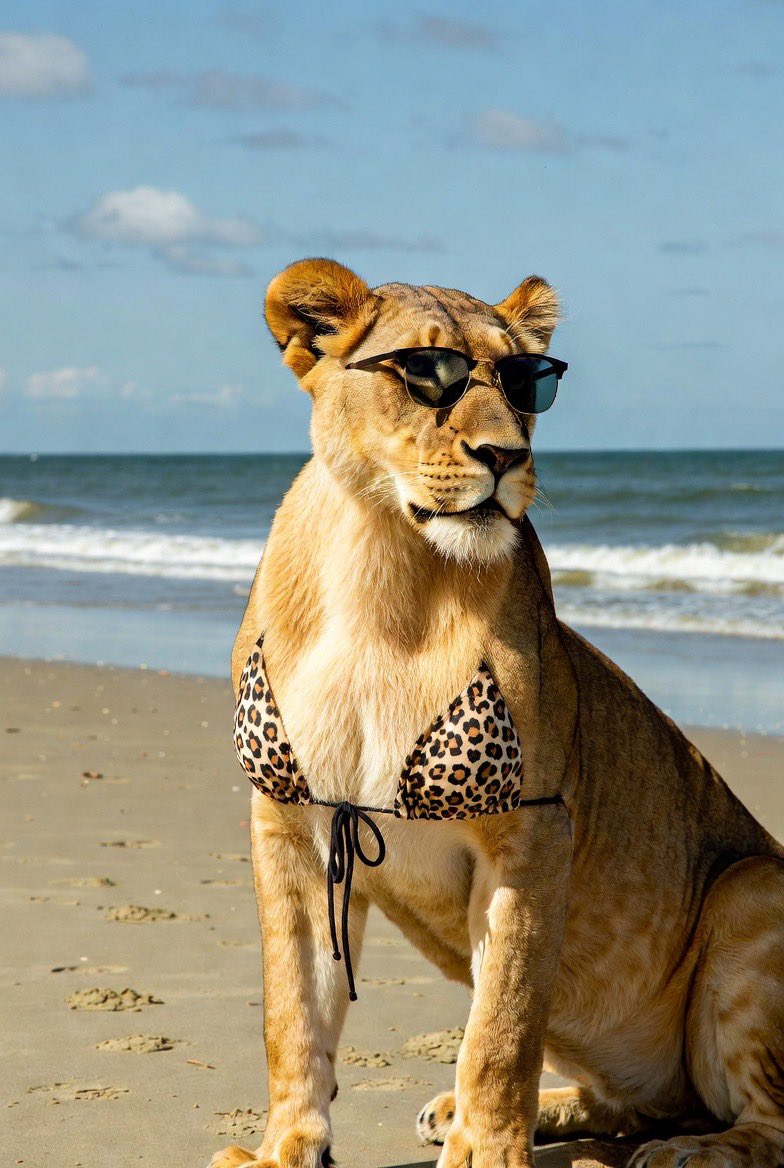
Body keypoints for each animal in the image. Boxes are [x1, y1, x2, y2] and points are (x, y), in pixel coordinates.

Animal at [210, 258, 784, 1168]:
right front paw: (283, 1150)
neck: (385, 575)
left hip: (754, 891)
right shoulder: (292, 826)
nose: (505, 454)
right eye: (426, 375)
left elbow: (502, 1024)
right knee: (634, 1103)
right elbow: (293, 1013)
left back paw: (693, 1150)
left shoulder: (534, 830)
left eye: (526, 384)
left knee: (762, 1119)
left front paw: (485, 1151)